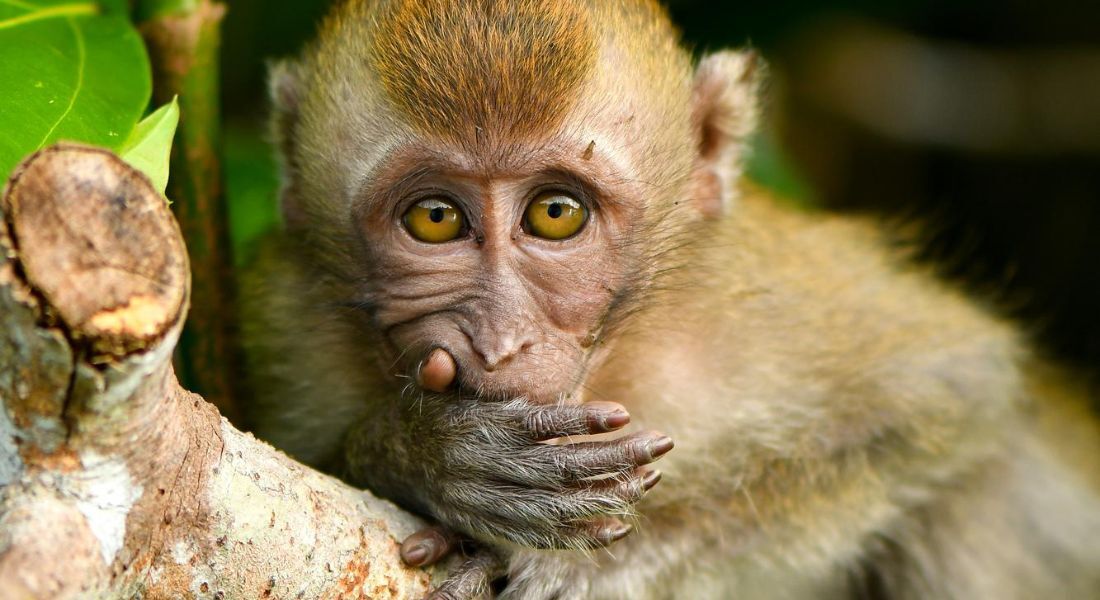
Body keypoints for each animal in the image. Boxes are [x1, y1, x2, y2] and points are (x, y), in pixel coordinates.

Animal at [239, 0, 1100, 598]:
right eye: (436, 218)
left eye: (557, 213)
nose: (501, 342)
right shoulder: (290, 321)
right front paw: (429, 454)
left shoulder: (759, 300)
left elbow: (952, 393)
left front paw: (620, 555)